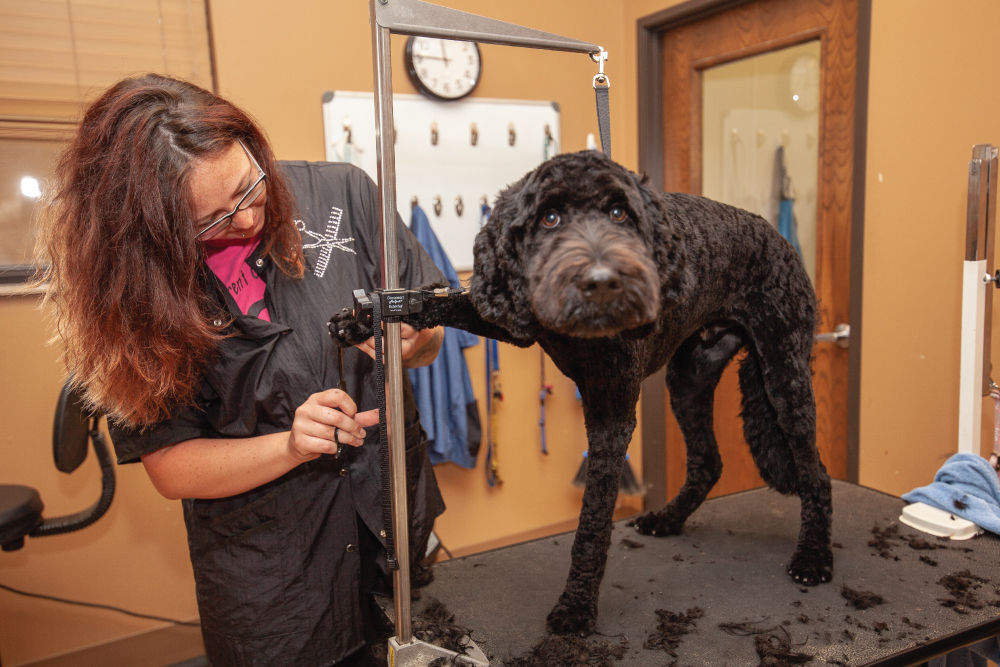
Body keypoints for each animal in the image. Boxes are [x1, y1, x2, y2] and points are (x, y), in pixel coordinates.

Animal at [332, 150, 832, 636]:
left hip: (784, 373)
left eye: (619, 213)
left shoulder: (611, 416)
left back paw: (814, 556)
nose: (602, 279)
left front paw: (576, 607)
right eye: (549, 218)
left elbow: (591, 524)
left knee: (816, 473)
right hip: (690, 378)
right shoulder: (510, 320)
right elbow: (443, 302)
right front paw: (367, 317)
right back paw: (669, 519)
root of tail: (778, 238)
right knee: (709, 461)